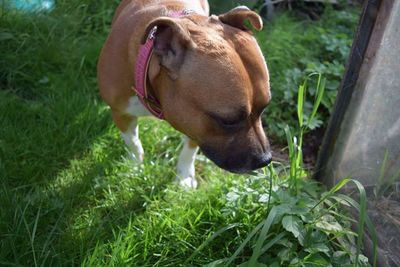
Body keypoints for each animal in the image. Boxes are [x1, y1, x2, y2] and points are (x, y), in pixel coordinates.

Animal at [97, 0, 272, 188]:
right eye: (228, 121)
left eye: (264, 108)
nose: (265, 159)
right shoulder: (121, 113)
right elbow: (133, 143)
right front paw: (135, 166)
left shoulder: (195, 124)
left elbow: (189, 149)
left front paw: (184, 178)